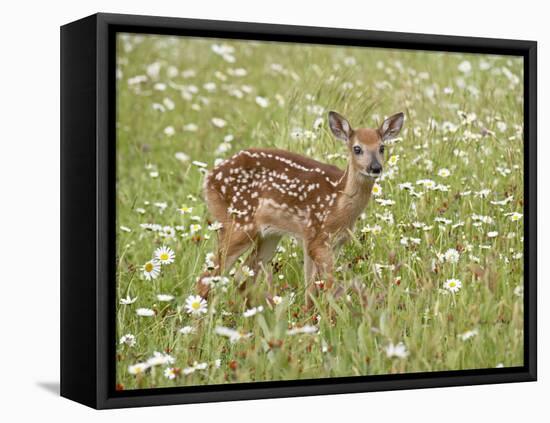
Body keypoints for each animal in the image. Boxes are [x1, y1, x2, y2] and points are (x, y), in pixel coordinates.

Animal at [198, 111, 406, 306]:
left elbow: (311, 291)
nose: (375, 167)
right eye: (357, 148)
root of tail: (209, 178)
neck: (338, 204)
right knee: (207, 278)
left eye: (382, 147)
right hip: (238, 223)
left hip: (269, 235)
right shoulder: (316, 238)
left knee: (243, 277)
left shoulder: (331, 242)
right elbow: (325, 288)